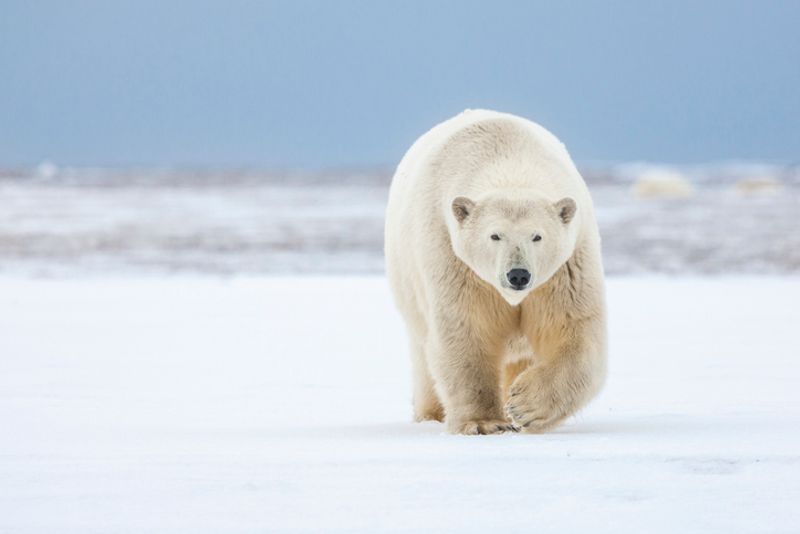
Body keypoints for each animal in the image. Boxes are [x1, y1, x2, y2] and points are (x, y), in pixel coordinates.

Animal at [382, 109, 608, 436]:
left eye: (537, 236)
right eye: (495, 235)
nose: (518, 275)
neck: (507, 157)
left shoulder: (566, 267)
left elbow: (573, 328)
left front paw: (524, 406)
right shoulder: (453, 258)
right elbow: (466, 329)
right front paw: (484, 422)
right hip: (409, 288)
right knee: (424, 355)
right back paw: (431, 414)